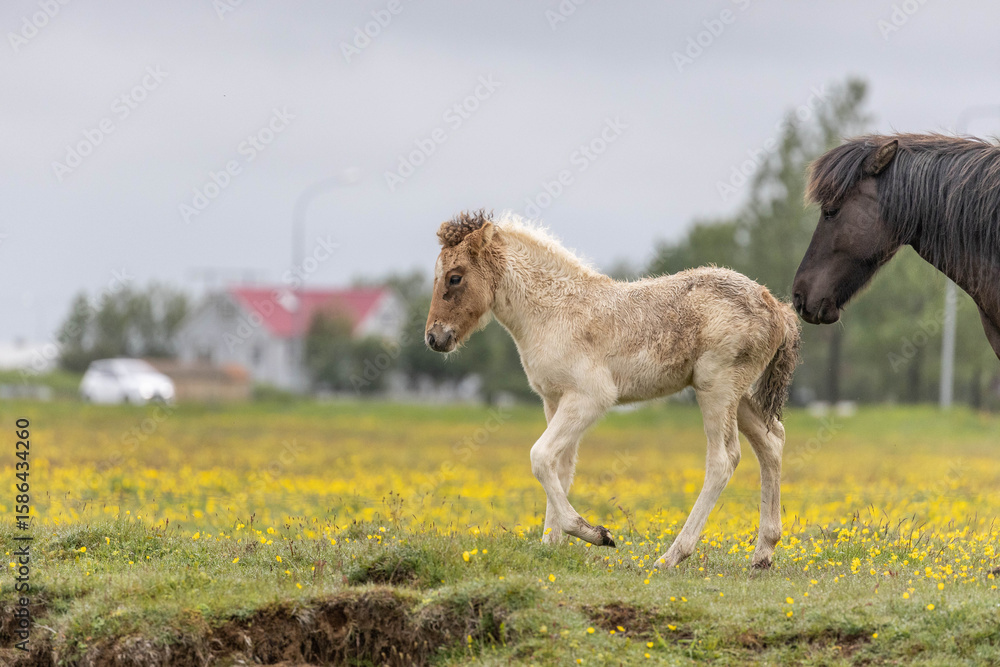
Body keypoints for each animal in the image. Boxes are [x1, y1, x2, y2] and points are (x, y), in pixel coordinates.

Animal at [424, 210, 800, 569]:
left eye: (455, 277)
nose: (434, 337)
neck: (554, 310)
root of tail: (777, 309)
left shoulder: (589, 398)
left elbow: (540, 457)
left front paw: (594, 534)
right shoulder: (554, 401)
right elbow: (560, 467)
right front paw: (550, 546)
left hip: (716, 387)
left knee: (723, 461)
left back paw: (672, 556)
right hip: (737, 394)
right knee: (772, 441)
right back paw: (763, 553)